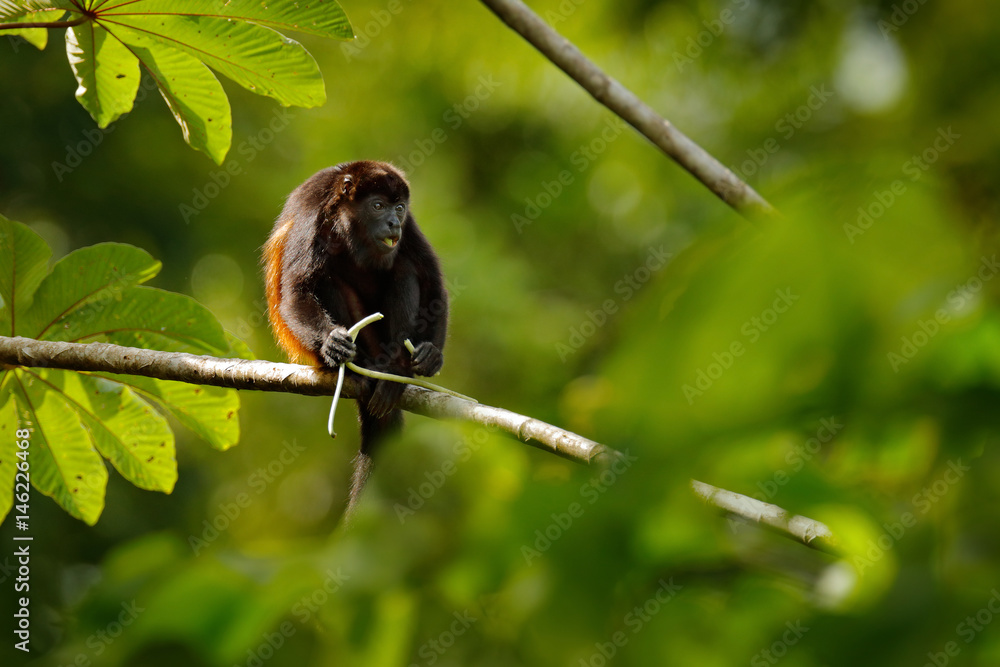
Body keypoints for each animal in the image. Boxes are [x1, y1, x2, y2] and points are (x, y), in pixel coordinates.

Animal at [263, 161, 447, 514]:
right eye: (377, 206)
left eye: (399, 208)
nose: (393, 222)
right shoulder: (311, 216)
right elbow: (297, 291)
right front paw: (331, 344)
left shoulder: (410, 229)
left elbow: (433, 284)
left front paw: (431, 354)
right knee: (326, 277)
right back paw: (354, 368)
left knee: (404, 268)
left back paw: (393, 373)